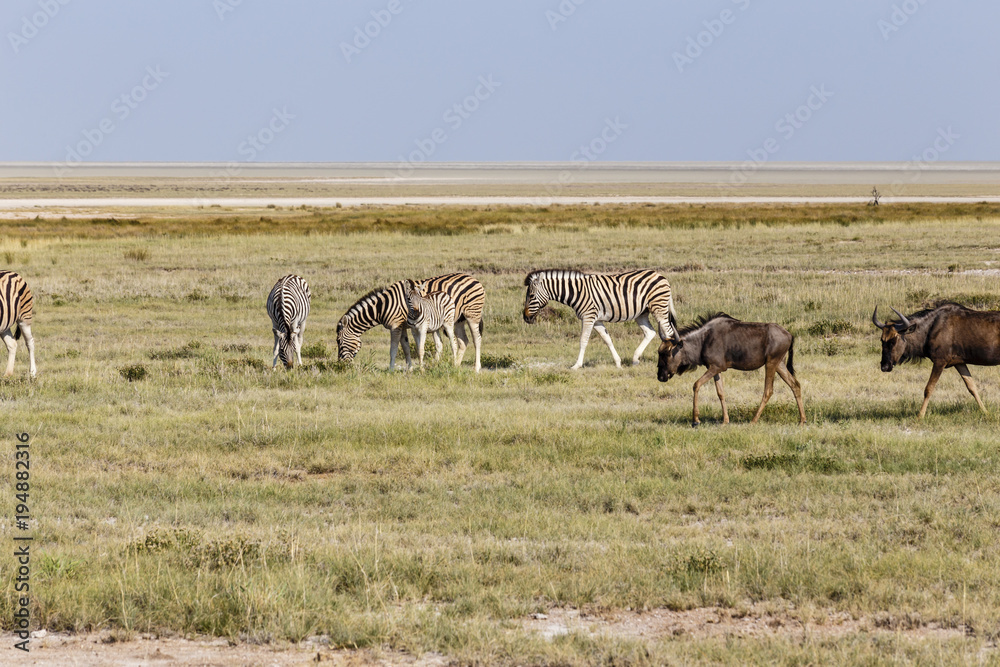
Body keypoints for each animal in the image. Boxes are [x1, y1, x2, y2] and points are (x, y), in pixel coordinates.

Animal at [337, 272, 485, 371]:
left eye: (339, 341)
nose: (340, 365)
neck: (383, 306)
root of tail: (474, 278)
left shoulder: (395, 327)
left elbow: (393, 349)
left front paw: (391, 370)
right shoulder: (402, 327)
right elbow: (406, 348)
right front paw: (410, 369)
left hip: (472, 315)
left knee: (477, 339)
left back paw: (476, 368)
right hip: (459, 319)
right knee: (463, 341)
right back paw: (456, 365)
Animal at [523, 268, 678, 369]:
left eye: (531, 296)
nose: (525, 318)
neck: (577, 292)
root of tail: (660, 275)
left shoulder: (588, 317)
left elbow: (583, 340)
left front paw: (576, 365)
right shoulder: (596, 320)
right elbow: (607, 339)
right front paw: (618, 363)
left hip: (658, 308)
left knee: (669, 333)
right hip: (641, 313)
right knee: (650, 332)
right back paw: (635, 360)